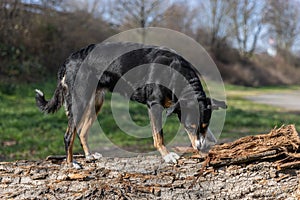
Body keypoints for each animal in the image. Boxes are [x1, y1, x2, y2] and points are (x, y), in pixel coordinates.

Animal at [35, 42, 226, 167]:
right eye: (190, 126)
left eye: (203, 126)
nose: (202, 148)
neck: (175, 73)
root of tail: (69, 59)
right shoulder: (154, 106)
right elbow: (159, 136)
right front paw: (167, 156)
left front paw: (210, 137)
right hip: (79, 102)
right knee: (69, 135)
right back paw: (71, 163)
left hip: (95, 103)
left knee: (81, 132)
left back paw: (89, 156)